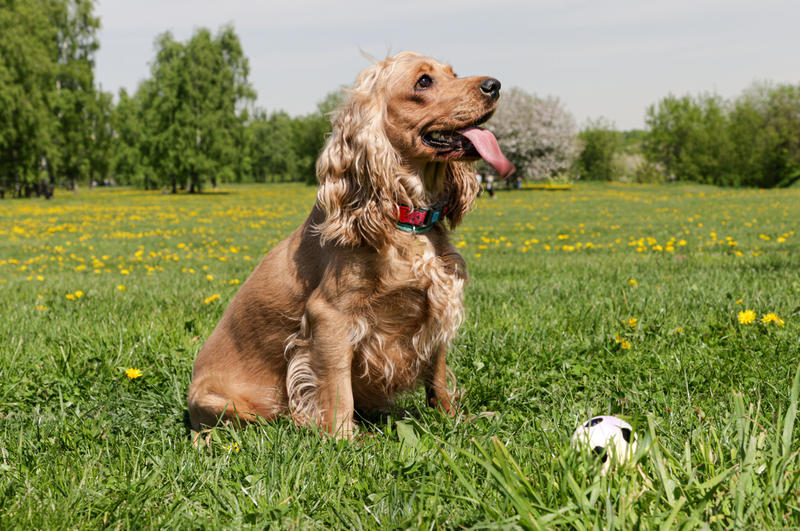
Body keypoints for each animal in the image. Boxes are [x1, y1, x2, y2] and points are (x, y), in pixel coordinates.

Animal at [188, 52, 512, 438]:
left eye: (454, 74)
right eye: (423, 82)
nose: (495, 85)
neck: (407, 219)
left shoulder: (438, 303)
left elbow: (437, 377)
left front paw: (452, 419)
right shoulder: (330, 318)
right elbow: (337, 387)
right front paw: (344, 439)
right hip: (227, 406)